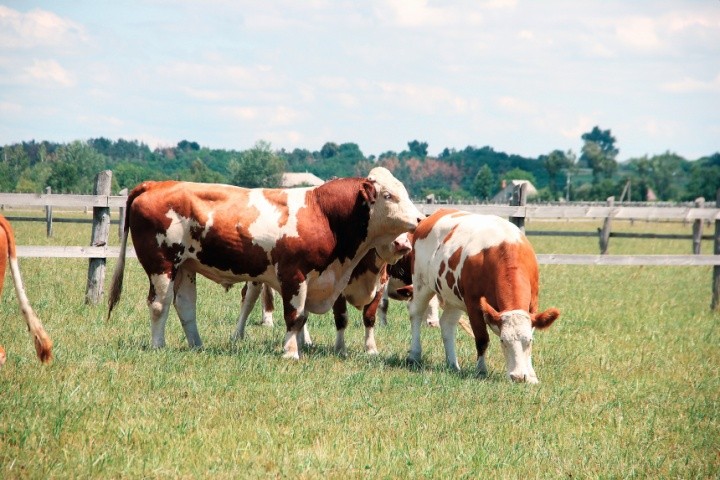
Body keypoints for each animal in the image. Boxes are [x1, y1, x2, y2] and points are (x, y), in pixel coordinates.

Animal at [106, 167, 422, 358]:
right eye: (388, 195)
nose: (420, 219)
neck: (323, 214)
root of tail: (155, 184)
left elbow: (306, 317)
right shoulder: (294, 275)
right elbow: (295, 317)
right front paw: (291, 353)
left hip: (185, 267)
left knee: (184, 306)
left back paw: (197, 345)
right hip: (162, 264)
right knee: (159, 304)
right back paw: (158, 345)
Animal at [408, 208, 560, 384]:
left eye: (528, 341)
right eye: (503, 341)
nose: (517, 377)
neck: (505, 248)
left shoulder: (532, 306)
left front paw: (531, 376)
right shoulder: (474, 305)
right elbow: (482, 339)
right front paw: (481, 370)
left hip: (453, 296)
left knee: (447, 324)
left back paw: (453, 364)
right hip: (421, 283)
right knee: (416, 313)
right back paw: (414, 355)